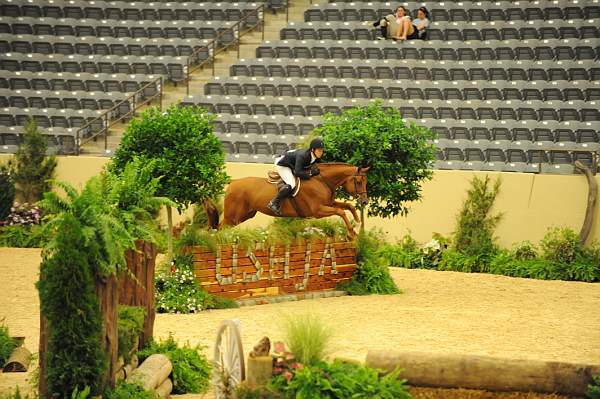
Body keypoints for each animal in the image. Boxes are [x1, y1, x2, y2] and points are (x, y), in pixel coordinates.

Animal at [204, 163, 368, 236]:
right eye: (359, 182)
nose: (365, 202)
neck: (322, 181)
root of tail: (233, 182)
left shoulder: (328, 203)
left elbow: (347, 206)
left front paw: (357, 220)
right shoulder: (318, 211)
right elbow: (340, 211)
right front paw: (352, 233)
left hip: (244, 215)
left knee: (218, 227)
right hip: (233, 216)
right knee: (218, 227)